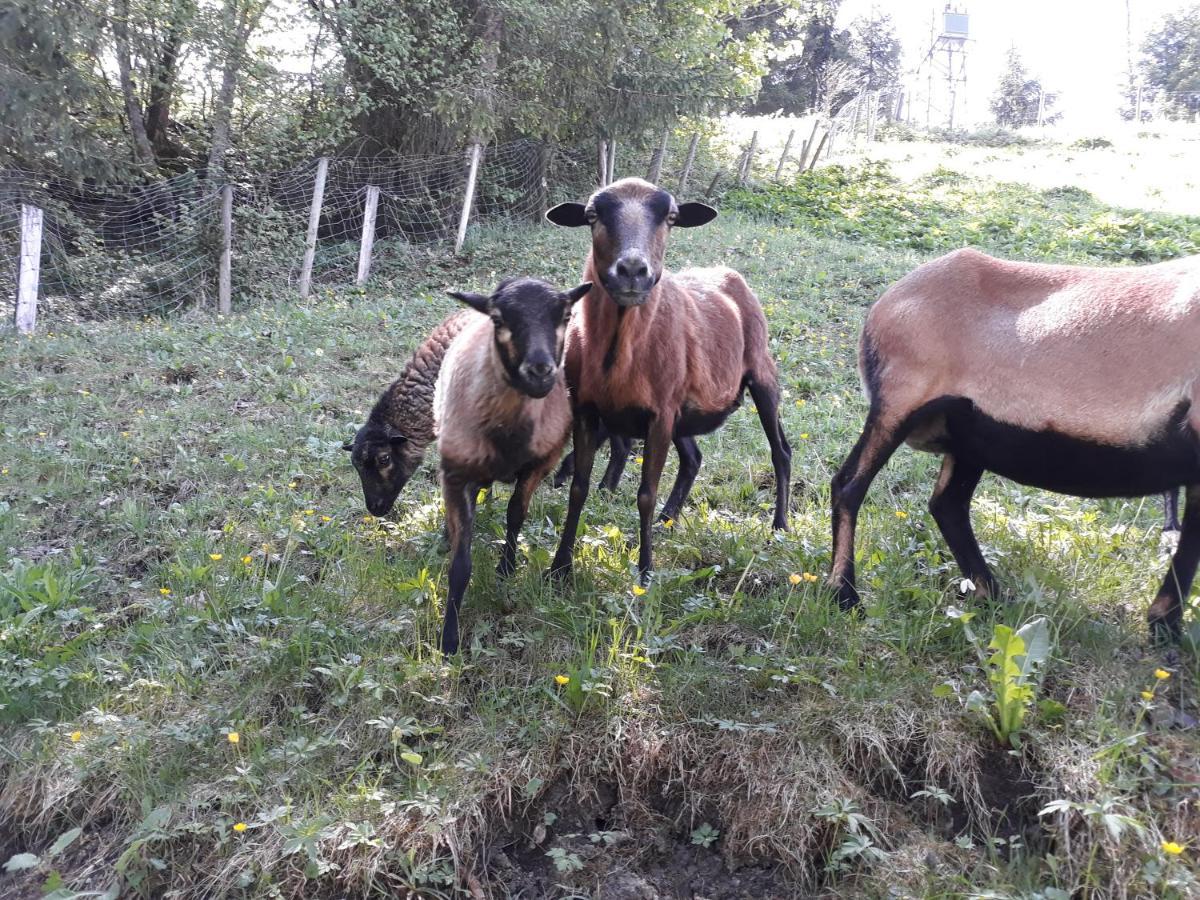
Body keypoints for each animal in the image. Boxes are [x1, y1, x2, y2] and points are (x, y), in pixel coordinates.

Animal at [436, 277, 595, 657]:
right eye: (498, 318)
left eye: (565, 315)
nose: (540, 370)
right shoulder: (455, 474)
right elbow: (460, 564)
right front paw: (449, 639)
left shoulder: (540, 464)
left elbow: (515, 515)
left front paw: (506, 567)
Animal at [542, 177, 787, 585]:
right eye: (592, 215)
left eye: (671, 217)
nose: (632, 270)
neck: (619, 354)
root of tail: (729, 274)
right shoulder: (588, 410)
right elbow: (578, 486)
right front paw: (559, 567)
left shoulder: (659, 417)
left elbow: (646, 493)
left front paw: (645, 575)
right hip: (681, 409)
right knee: (693, 459)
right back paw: (667, 521)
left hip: (761, 375)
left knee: (780, 451)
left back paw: (780, 527)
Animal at [830, 247, 1200, 643]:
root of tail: (883, 308)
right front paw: (1166, 628)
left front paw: (1165, 626)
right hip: (900, 406)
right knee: (849, 485)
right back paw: (845, 596)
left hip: (968, 440)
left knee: (947, 505)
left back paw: (992, 596)